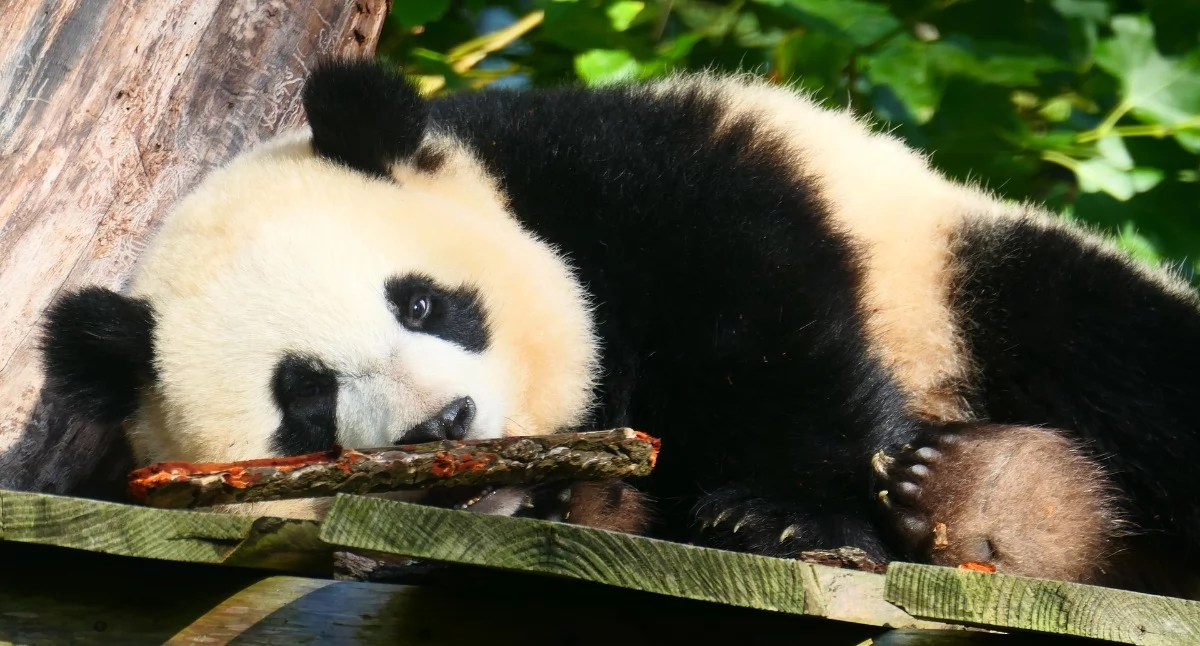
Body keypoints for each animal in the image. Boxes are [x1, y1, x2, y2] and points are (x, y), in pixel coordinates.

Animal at [39, 57, 1200, 596]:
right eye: (307, 400)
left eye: (423, 303)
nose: (443, 425)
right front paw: (551, 502)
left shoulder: (639, 172)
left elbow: (760, 316)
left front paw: (789, 520)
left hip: (961, 269)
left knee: (1106, 343)